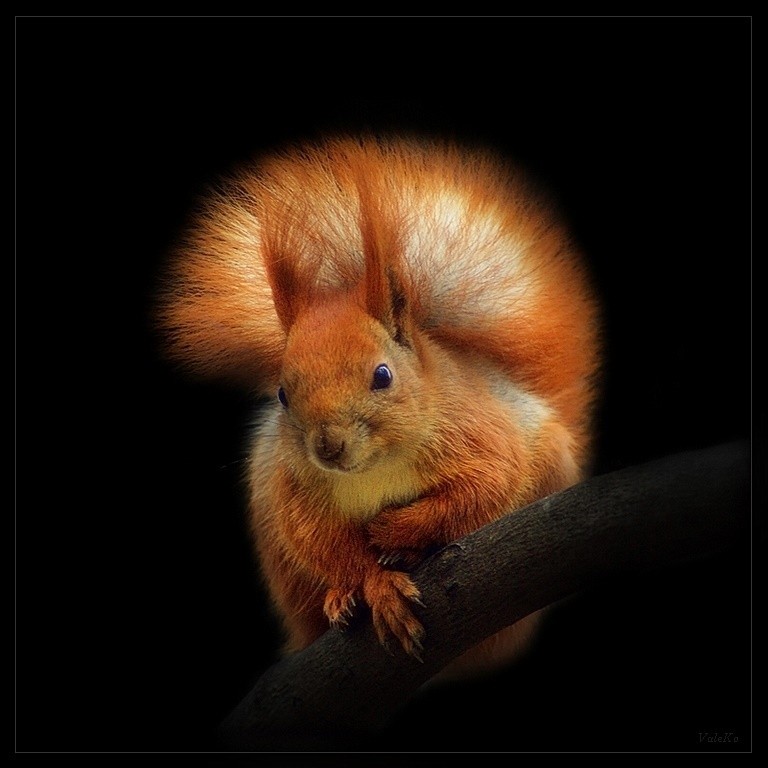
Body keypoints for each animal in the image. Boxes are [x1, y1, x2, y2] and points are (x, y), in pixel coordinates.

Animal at [157, 135, 601, 678]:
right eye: (282, 394)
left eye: (382, 375)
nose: (328, 447)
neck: (375, 468)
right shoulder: (292, 489)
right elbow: (323, 541)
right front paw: (375, 585)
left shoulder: (481, 436)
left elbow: (479, 491)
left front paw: (392, 531)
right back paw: (336, 599)